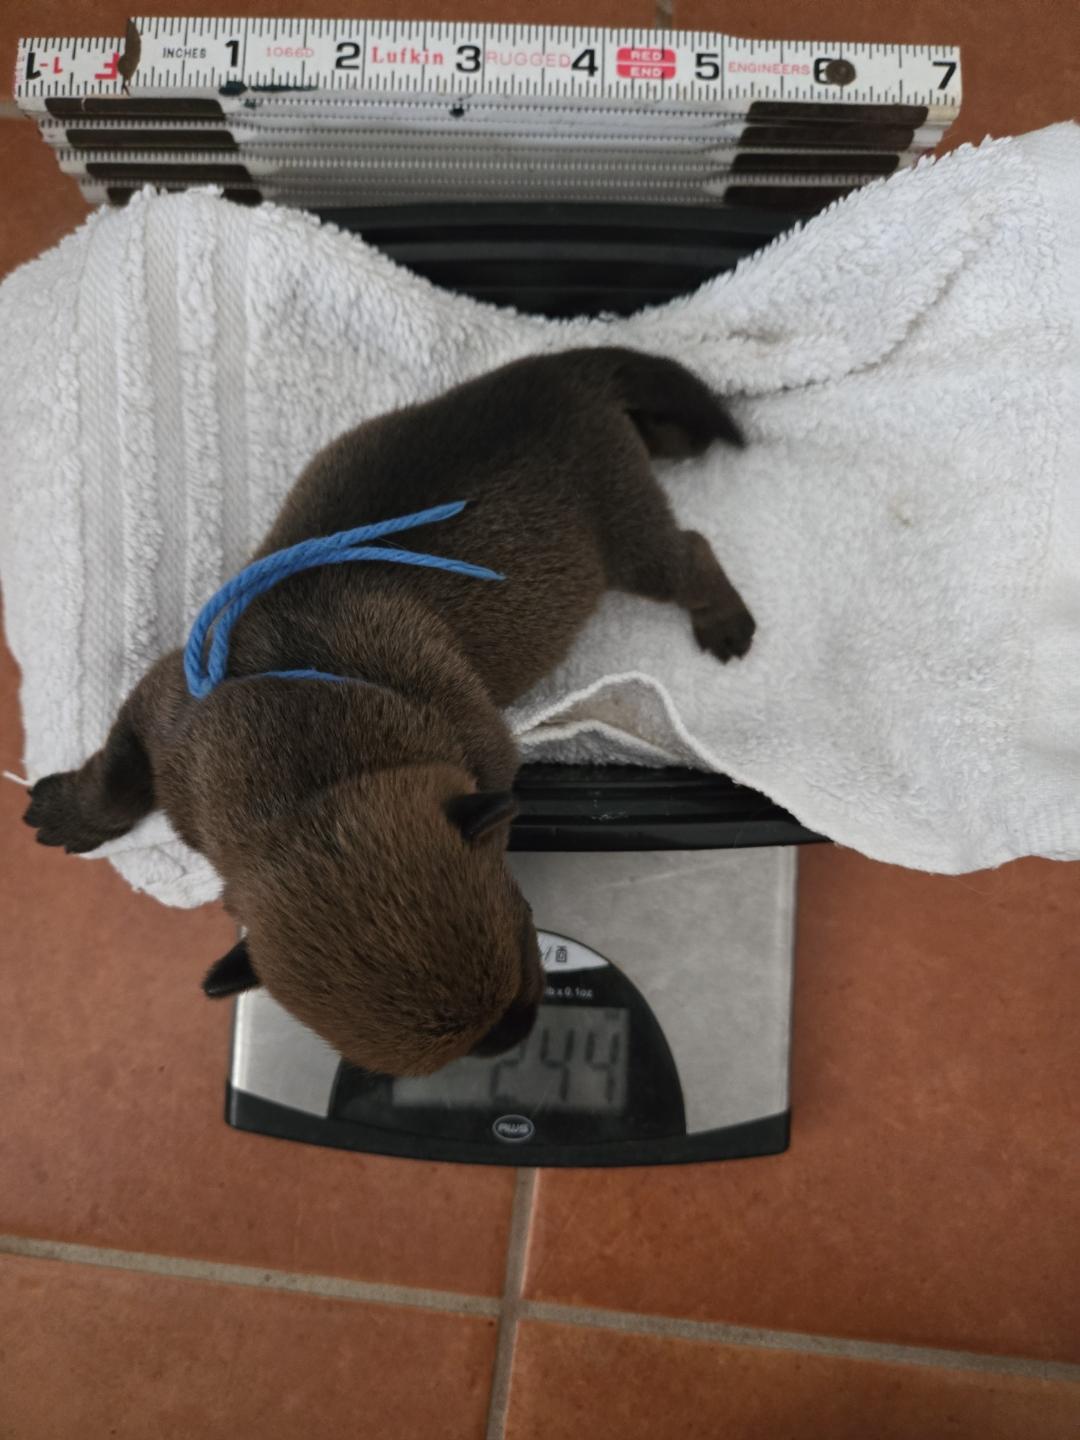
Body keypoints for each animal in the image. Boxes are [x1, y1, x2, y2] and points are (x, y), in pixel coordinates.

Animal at [23, 347, 754, 1076]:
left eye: (525, 940)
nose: (517, 1036)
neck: (310, 781)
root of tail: (557, 371)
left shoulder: (477, 748)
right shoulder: (163, 707)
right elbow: (117, 773)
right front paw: (73, 812)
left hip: (624, 522)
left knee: (688, 551)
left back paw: (724, 619)